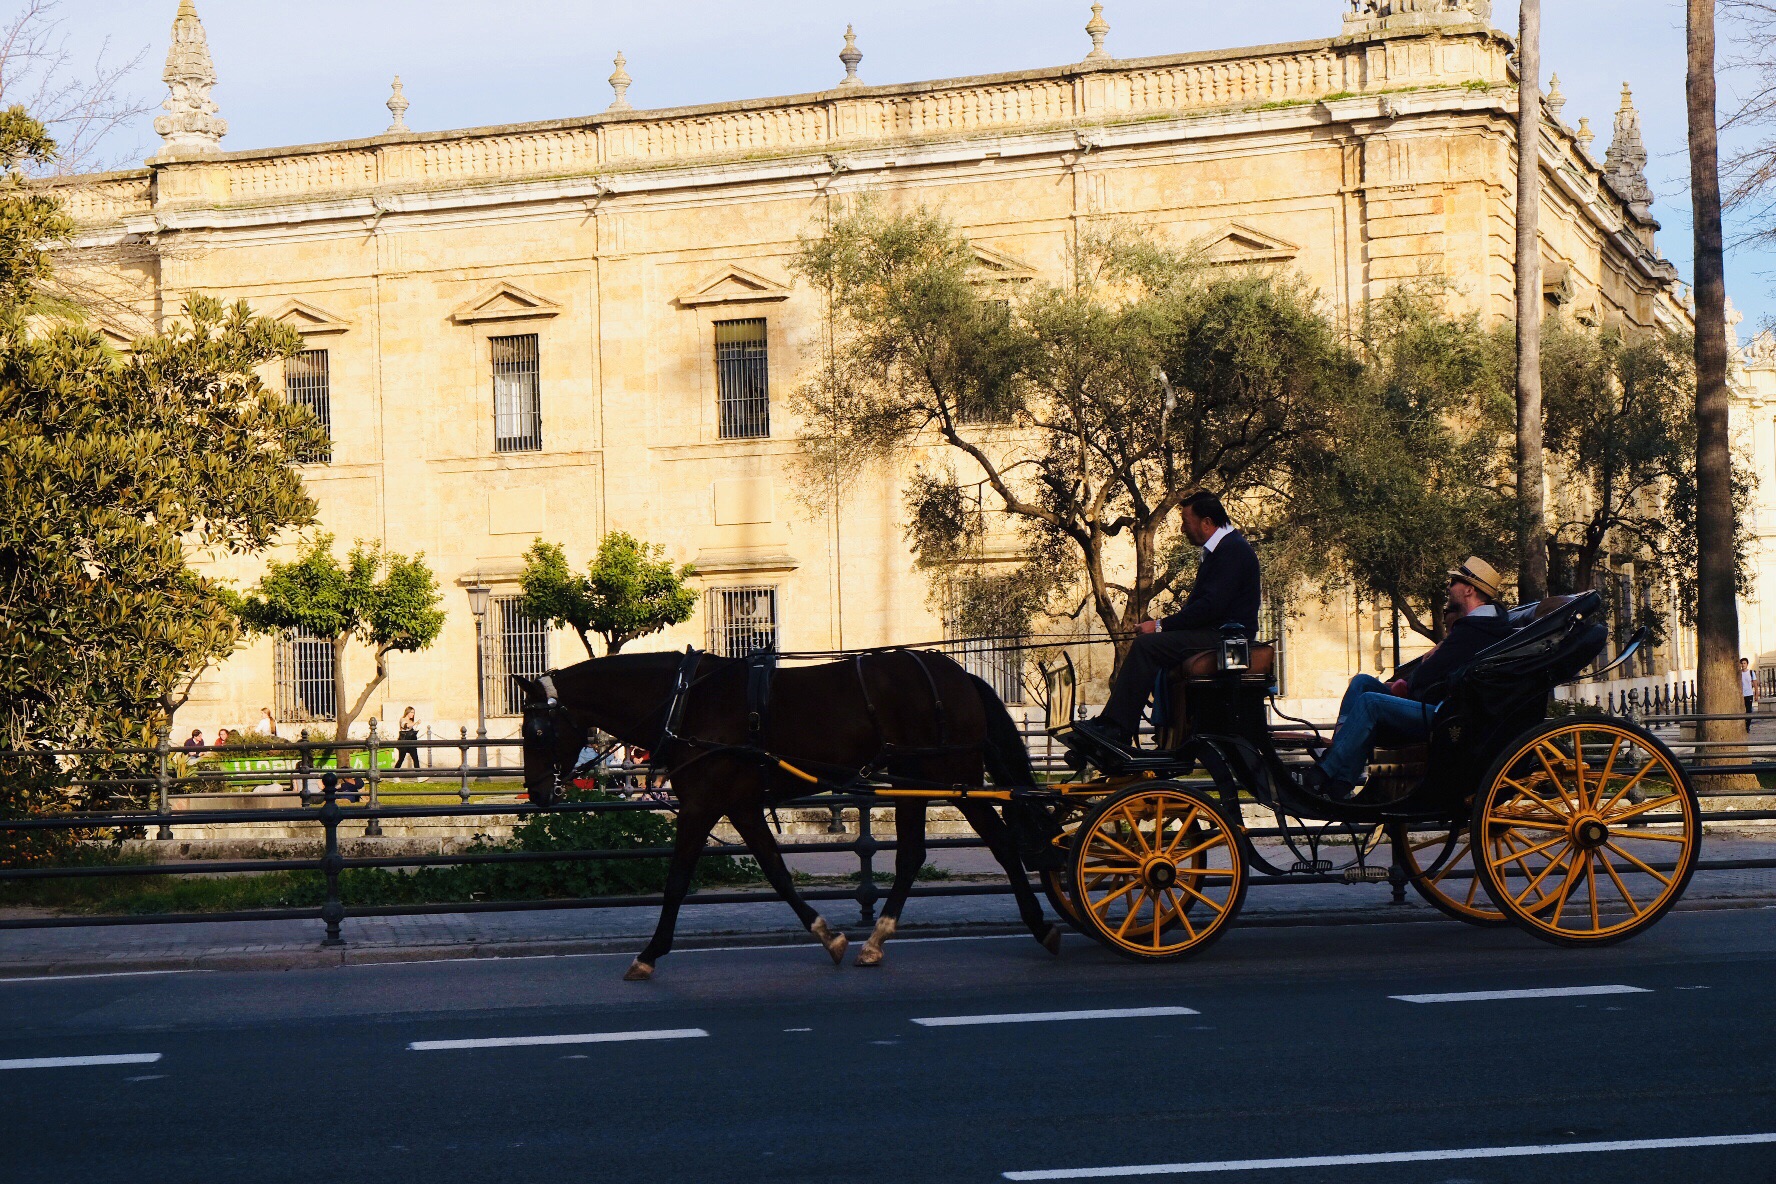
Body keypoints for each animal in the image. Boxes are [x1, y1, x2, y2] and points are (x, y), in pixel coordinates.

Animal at [518, 649, 1058, 979]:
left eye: (536, 732)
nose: (539, 793)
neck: (685, 701)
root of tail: (960, 675)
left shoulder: (702, 804)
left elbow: (677, 880)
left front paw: (649, 954)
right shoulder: (738, 805)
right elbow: (776, 872)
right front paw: (827, 936)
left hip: (952, 774)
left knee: (1001, 844)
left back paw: (1041, 925)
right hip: (914, 780)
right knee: (912, 856)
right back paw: (876, 939)